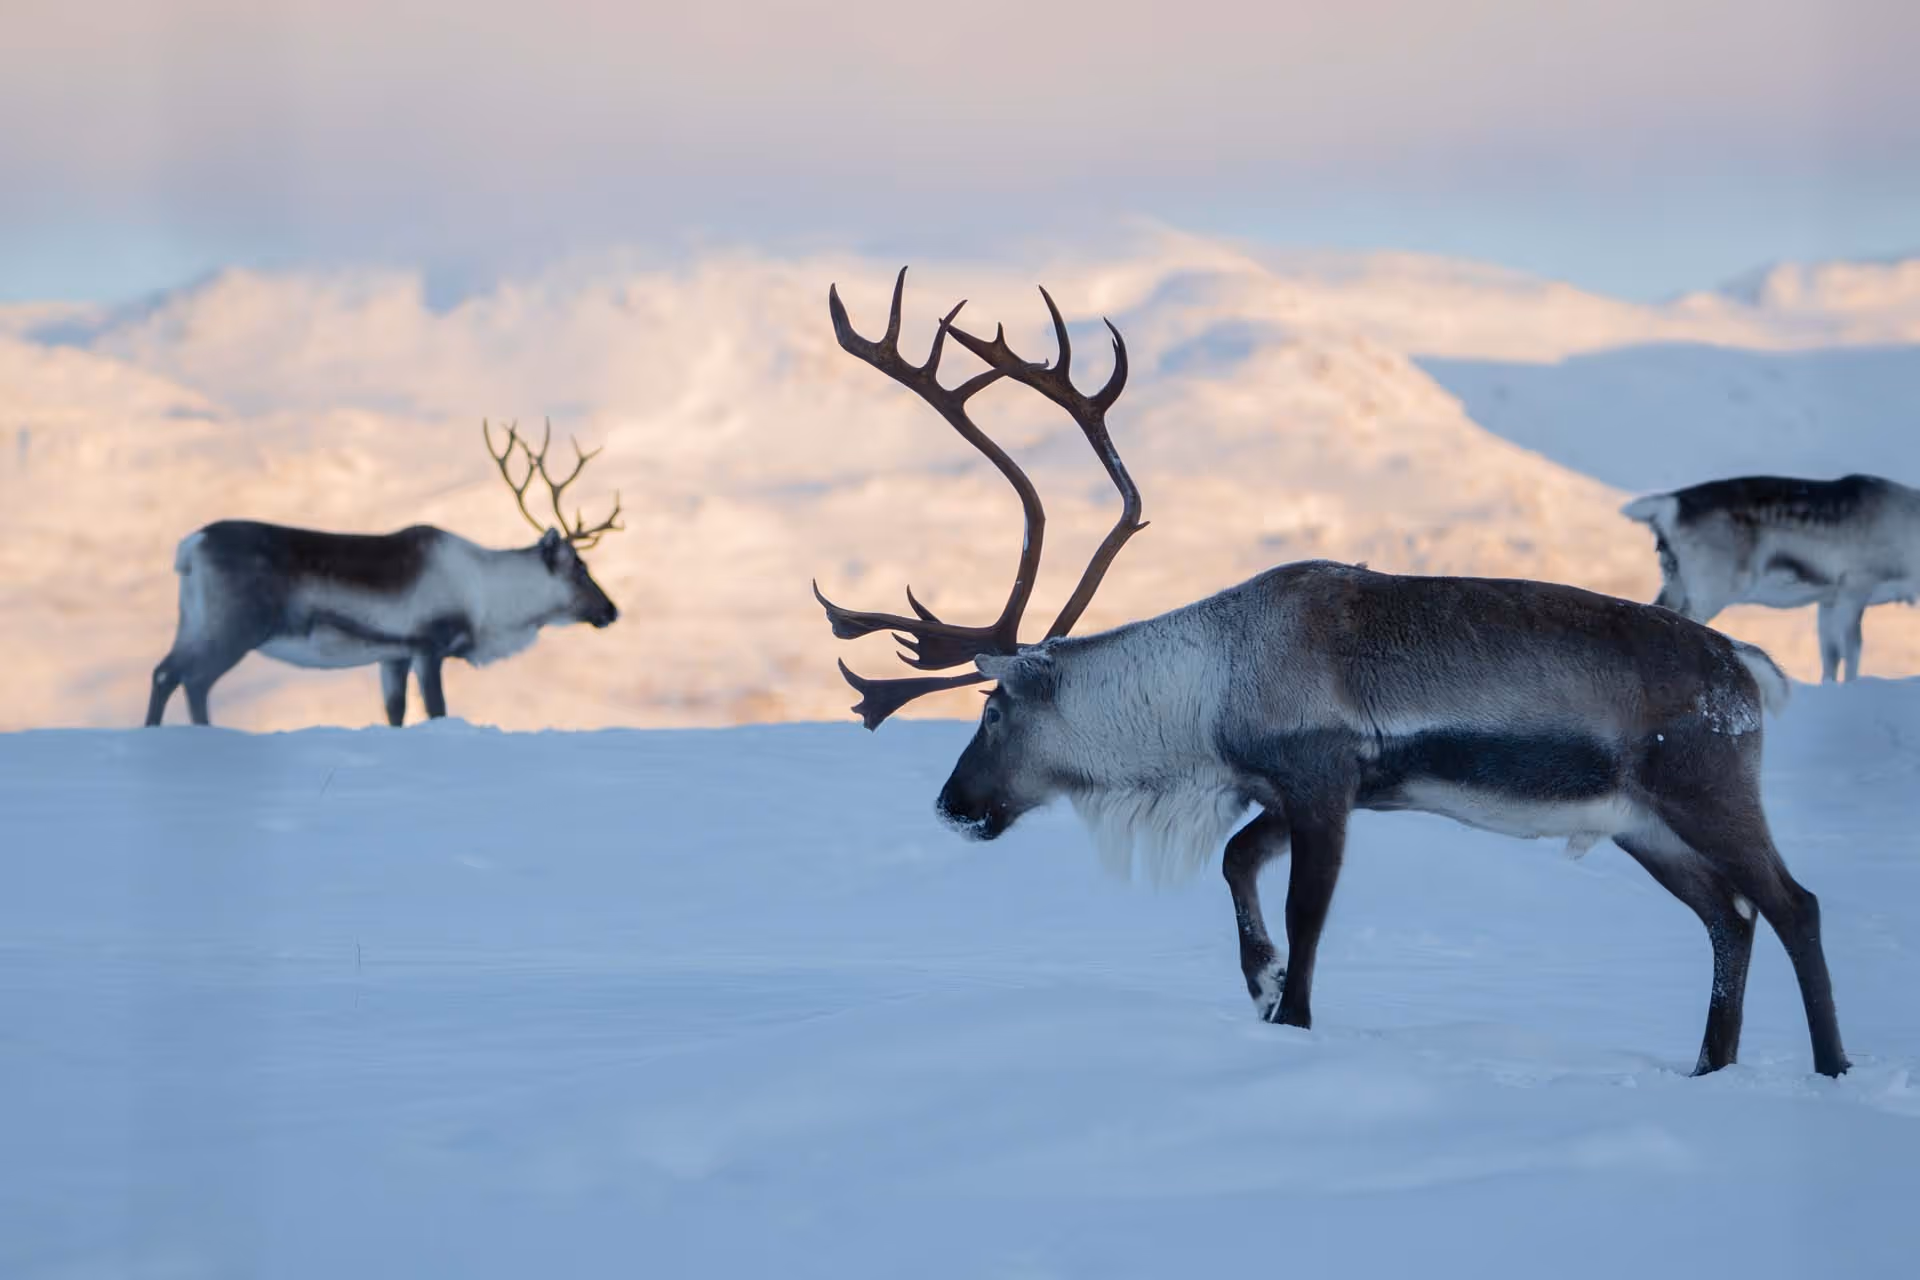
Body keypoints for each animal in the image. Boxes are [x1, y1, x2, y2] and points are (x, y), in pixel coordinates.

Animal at [144, 421, 622, 728]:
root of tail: (190, 547)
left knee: (165, 673)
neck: (489, 598)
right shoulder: (429, 646)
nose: (612, 611)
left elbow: (394, 713)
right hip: (237, 625)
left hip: (194, 622)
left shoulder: (392, 656)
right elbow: (437, 710)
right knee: (193, 679)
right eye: (581, 568)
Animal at [813, 269, 1849, 1078]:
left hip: (1706, 787)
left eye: (992, 710)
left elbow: (1307, 914)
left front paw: (1291, 1010)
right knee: (1731, 919)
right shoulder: (1286, 788)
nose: (951, 805)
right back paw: (1710, 1066)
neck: (1209, 690)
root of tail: (1750, 667)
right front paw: (1260, 979)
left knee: (1791, 904)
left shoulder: (1324, 780)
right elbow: (1237, 860)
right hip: (1642, 827)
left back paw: (1832, 1068)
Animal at [1622, 473, 1920, 683]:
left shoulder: (1828, 599)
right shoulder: (1856, 587)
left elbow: (1830, 654)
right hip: (1713, 590)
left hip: (1674, 580)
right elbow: (1853, 648)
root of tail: (1670, 506)